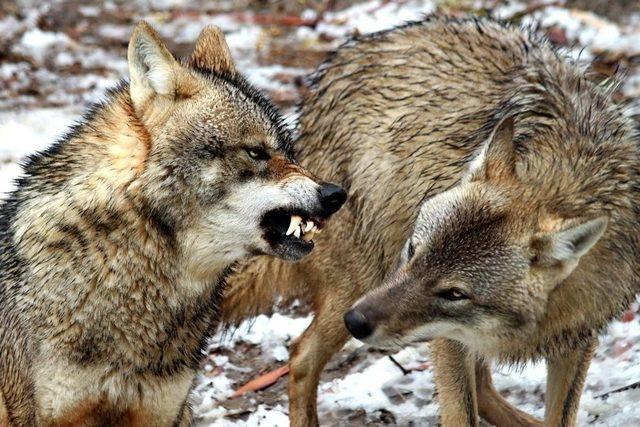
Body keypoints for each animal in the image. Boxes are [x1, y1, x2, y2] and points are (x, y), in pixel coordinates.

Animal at [224, 15, 640, 426]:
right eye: (413, 251)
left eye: (454, 293)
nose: (356, 322)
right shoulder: (449, 340)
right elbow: (460, 413)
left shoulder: (577, 339)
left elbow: (558, 415)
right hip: (362, 280)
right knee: (301, 357)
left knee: (483, 388)